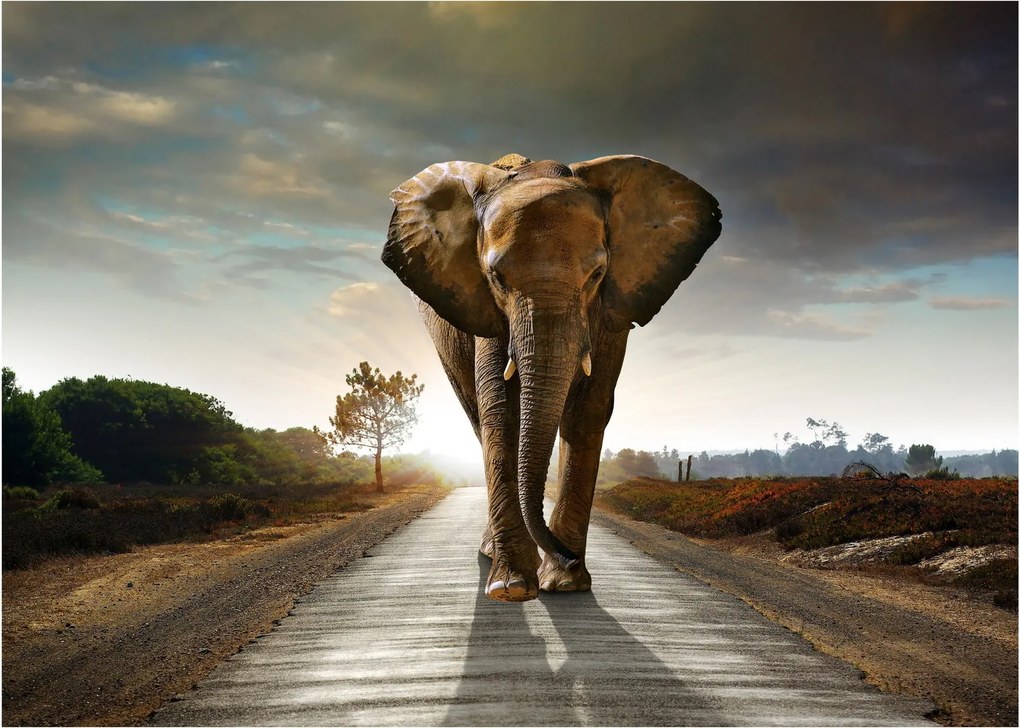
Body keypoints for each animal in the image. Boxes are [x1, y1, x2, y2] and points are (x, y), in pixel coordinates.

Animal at [382, 153, 721, 602]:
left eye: (597, 274)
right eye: (497, 278)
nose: (567, 556)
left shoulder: (611, 309)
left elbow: (588, 409)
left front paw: (565, 584)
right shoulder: (487, 311)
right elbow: (501, 410)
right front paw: (512, 588)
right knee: (477, 416)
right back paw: (493, 555)